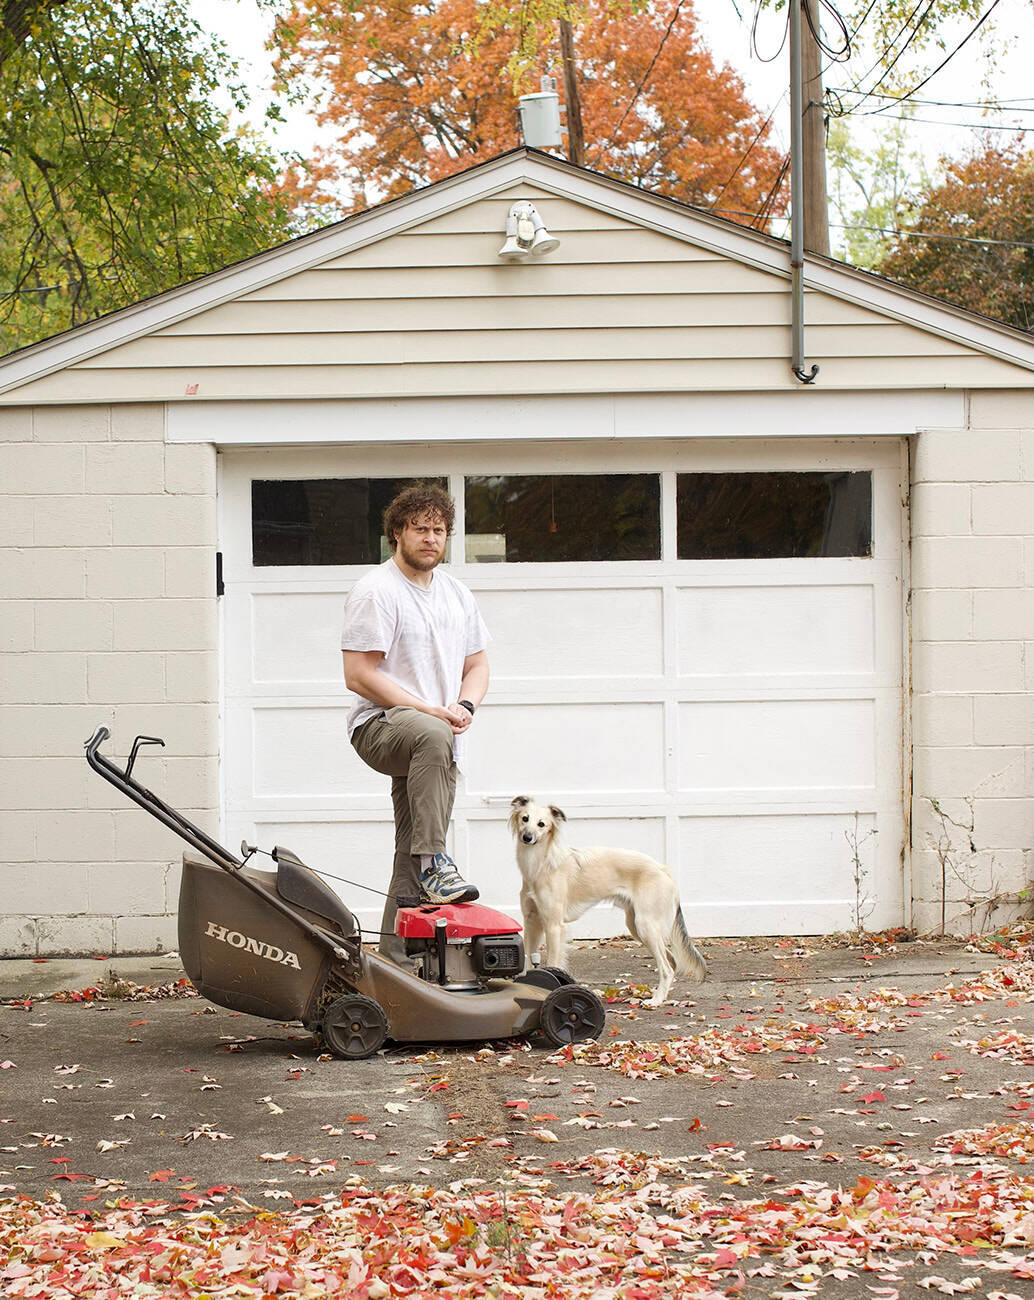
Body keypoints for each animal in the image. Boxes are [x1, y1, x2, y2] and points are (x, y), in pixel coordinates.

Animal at [507, 795, 707, 1008]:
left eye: (542, 824)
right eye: (525, 819)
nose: (527, 837)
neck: (541, 866)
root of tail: (664, 870)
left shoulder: (553, 926)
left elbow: (552, 963)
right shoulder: (532, 922)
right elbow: (529, 961)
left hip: (645, 925)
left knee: (667, 968)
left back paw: (656, 1000)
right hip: (637, 926)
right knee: (671, 961)